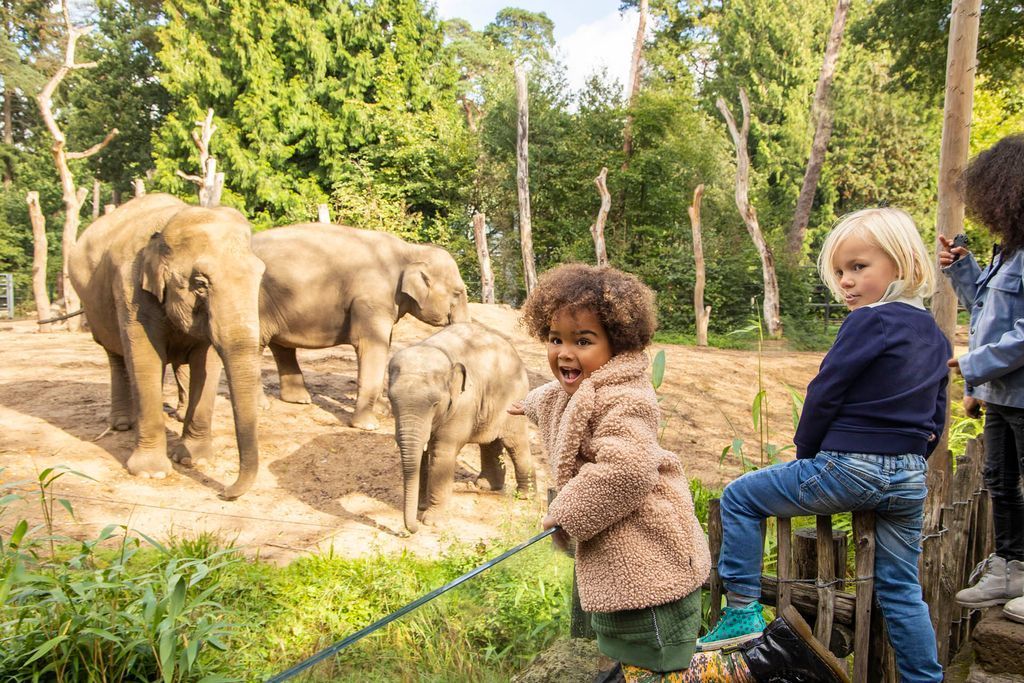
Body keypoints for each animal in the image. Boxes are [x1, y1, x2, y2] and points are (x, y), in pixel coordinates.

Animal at [69, 192, 266, 497]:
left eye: (260, 276)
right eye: (200, 284)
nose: (223, 493)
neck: (169, 223)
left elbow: (207, 363)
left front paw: (193, 460)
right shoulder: (130, 289)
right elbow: (146, 357)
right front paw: (152, 473)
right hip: (96, 311)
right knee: (117, 357)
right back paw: (123, 424)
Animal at [253, 222, 468, 430]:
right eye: (457, 293)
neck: (411, 250)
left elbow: (385, 344)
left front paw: (383, 410)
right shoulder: (371, 299)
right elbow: (371, 346)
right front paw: (368, 425)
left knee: (281, 347)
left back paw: (298, 400)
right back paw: (263, 405)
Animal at [387, 321, 536, 532]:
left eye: (435, 403)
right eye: (391, 399)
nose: (410, 530)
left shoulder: (462, 404)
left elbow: (442, 454)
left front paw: (431, 521)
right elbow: (422, 455)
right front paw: (421, 507)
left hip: (514, 399)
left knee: (515, 443)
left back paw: (524, 496)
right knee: (489, 442)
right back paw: (486, 486)